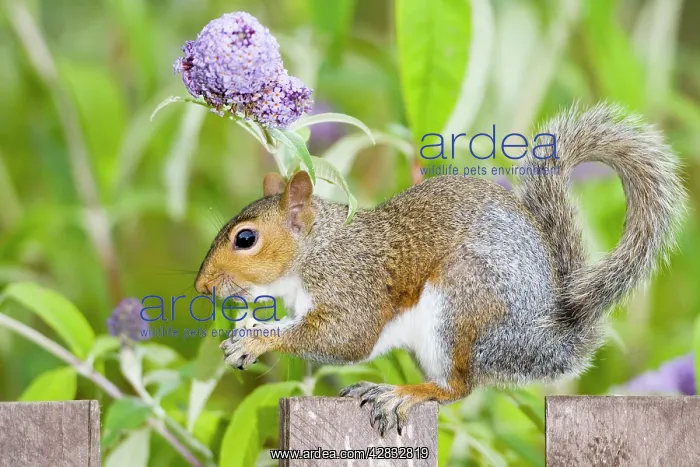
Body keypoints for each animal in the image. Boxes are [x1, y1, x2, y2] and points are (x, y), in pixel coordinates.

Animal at [195, 103, 687, 435]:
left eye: (245, 239)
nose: (201, 286)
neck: (318, 249)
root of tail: (541, 344)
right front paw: (245, 331)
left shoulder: (353, 284)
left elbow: (345, 338)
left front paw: (256, 340)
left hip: (459, 305)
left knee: (456, 388)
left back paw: (402, 393)